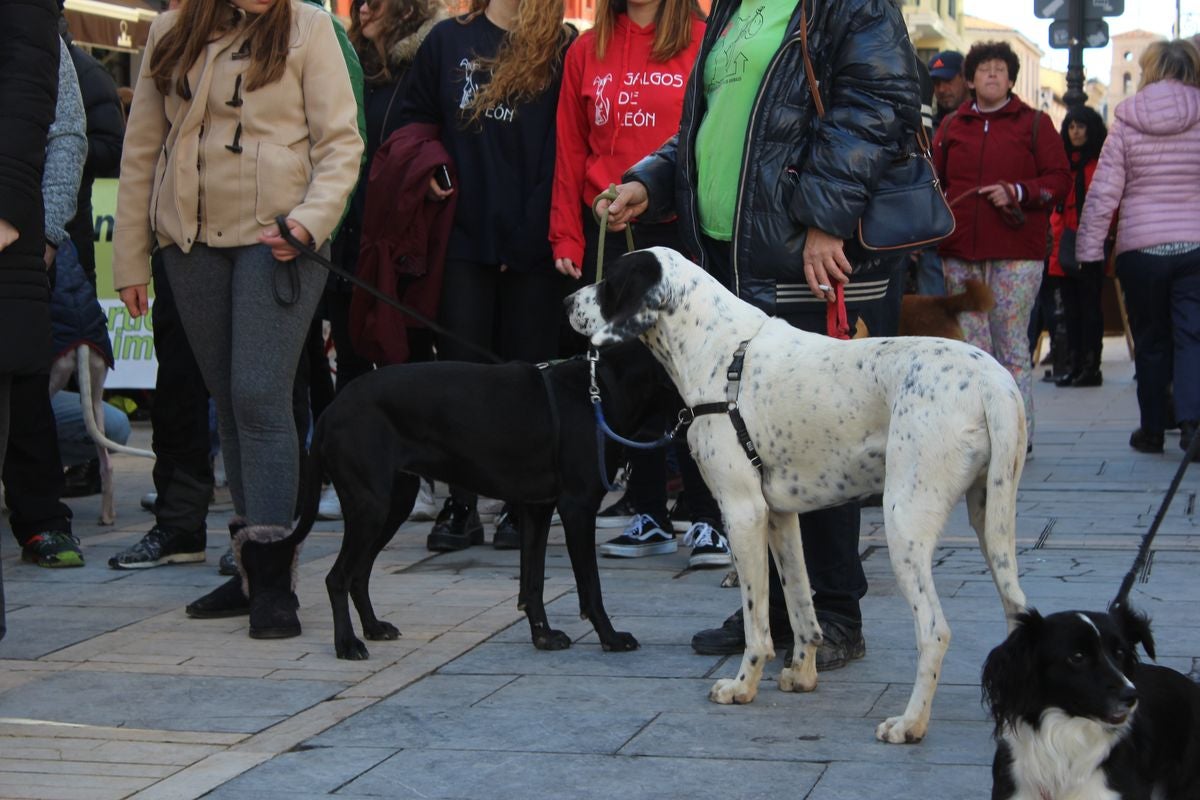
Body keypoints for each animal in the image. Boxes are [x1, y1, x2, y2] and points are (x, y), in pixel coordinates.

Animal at [289, 340, 667, 662]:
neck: (599, 390)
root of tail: (330, 409)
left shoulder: (537, 508)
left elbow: (533, 581)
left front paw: (543, 636)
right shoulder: (577, 507)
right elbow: (591, 585)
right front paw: (611, 638)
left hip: (391, 506)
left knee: (359, 573)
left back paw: (372, 628)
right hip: (371, 507)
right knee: (338, 577)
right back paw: (347, 644)